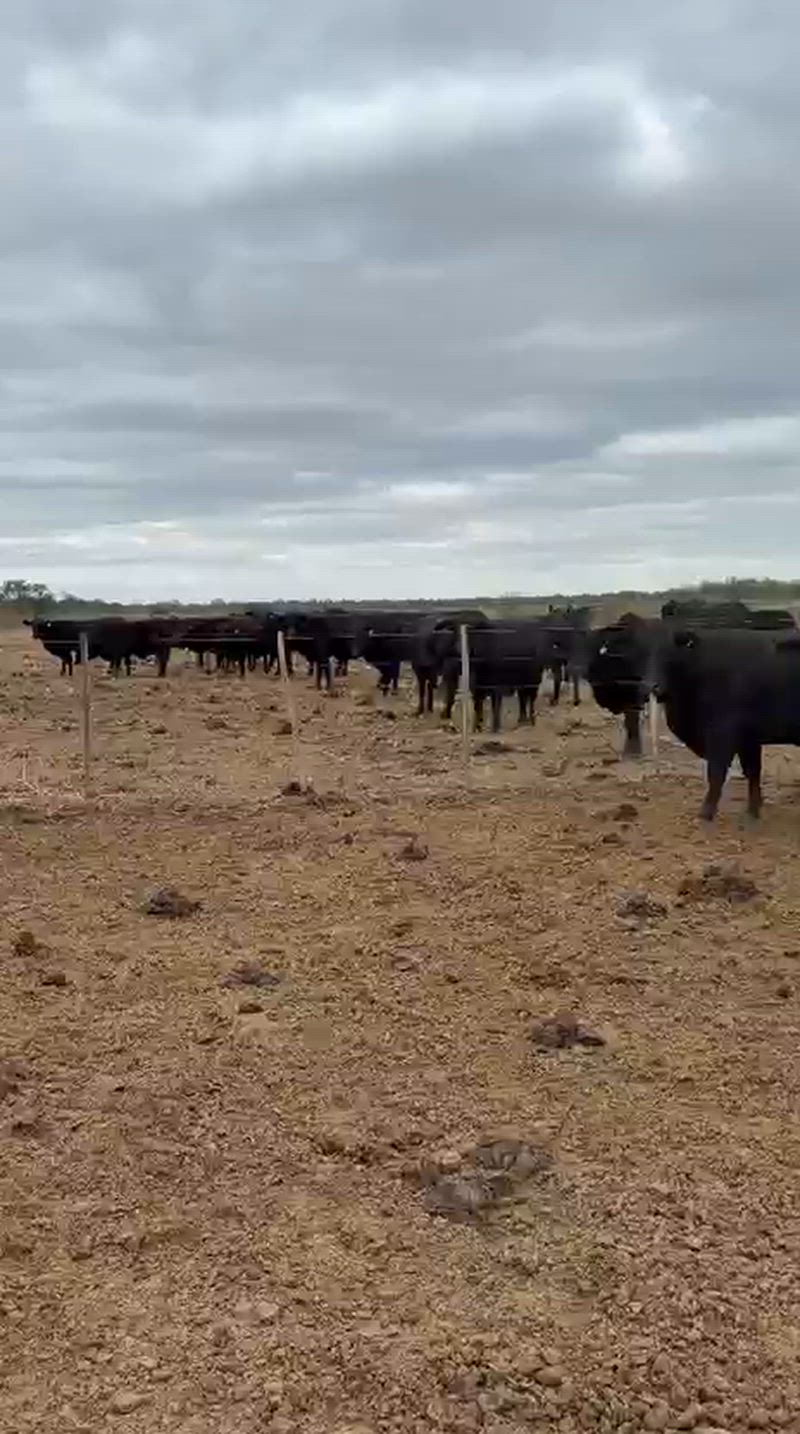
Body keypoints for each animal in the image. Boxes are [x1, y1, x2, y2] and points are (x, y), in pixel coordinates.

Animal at [657, 626, 800, 820]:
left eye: (669, 654)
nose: (655, 687)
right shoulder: (748, 739)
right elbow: (752, 771)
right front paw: (754, 809)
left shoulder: (721, 735)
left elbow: (717, 773)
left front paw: (706, 813)